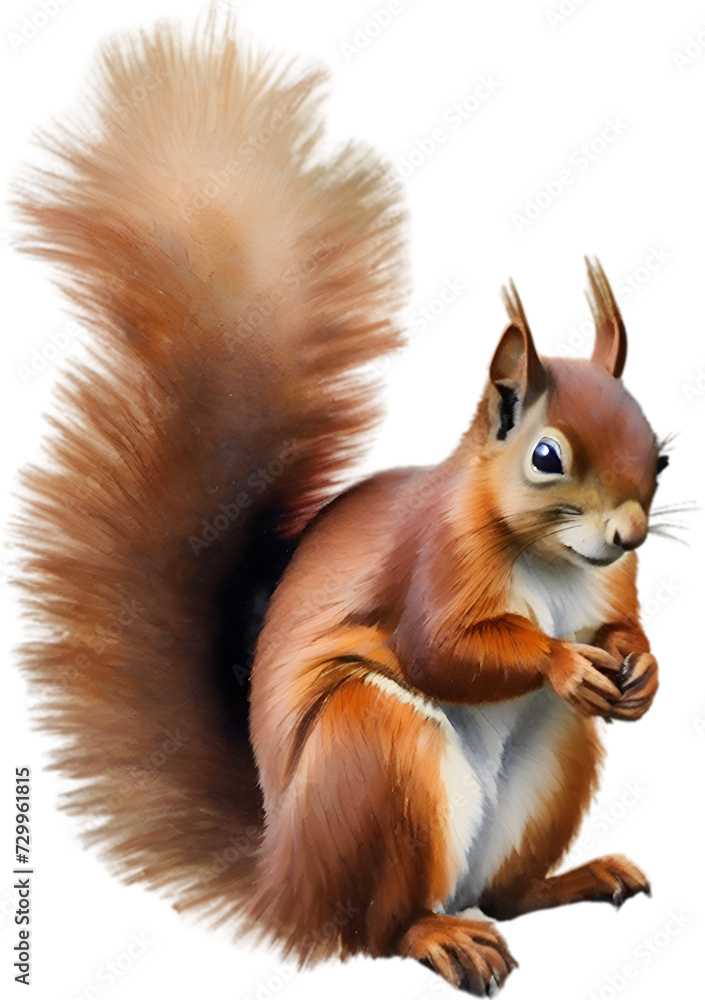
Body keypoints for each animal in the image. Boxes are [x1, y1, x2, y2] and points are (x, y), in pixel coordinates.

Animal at [13, 18, 668, 997]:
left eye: (660, 455)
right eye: (547, 456)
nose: (626, 533)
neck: (553, 563)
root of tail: (283, 880)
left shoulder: (607, 587)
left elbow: (622, 629)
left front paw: (643, 669)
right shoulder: (436, 559)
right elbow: (441, 649)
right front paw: (559, 660)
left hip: (552, 761)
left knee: (505, 893)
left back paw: (577, 877)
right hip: (373, 749)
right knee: (374, 928)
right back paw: (442, 937)